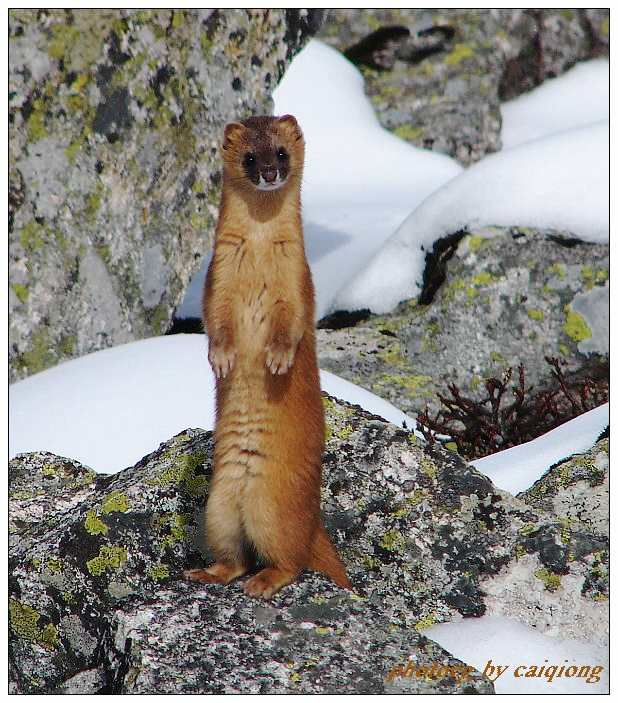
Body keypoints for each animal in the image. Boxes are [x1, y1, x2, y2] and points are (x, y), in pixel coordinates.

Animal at [180, 115, 348, 600]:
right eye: (251, 157)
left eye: (282, 153)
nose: (270, 172)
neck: (256, 249)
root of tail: (315, 523)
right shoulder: (216, 282)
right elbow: (215, 323)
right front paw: (221, 360)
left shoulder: (298, 282)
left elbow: (292, 325)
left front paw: (275, 360)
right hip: (218, 508)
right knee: (234, 557)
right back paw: (206, 572)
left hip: (271, 509)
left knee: (290, 559)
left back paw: (264, 581)